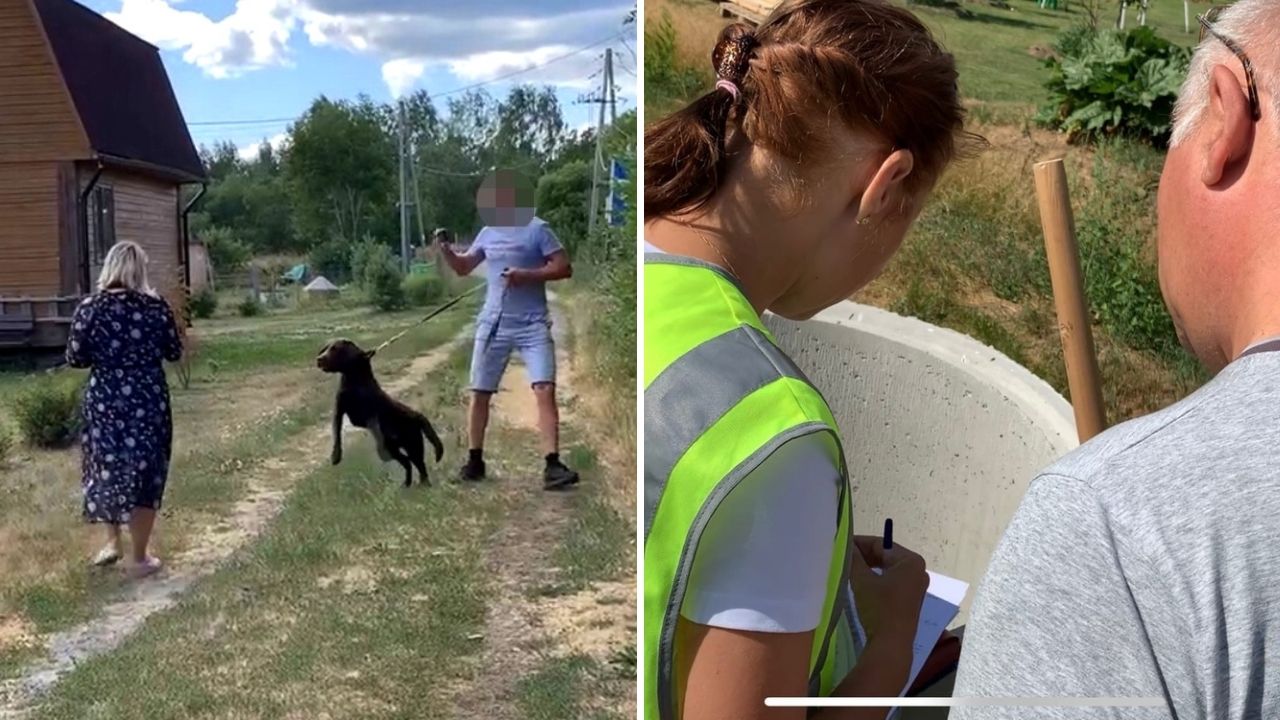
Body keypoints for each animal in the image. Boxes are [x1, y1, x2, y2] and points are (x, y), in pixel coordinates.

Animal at [314, 338, 445, 484]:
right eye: (326, 348)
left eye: (335, 349)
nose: (319, 359)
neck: (355, 380)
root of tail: (417, 415)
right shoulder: (339, 411)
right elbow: (336, 434)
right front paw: (336, 455)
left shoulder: (370, 413)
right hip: (394, 449)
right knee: (409, 463)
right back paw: (408, 484)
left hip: (412, 445)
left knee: (417, 464)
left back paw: (422, 484)